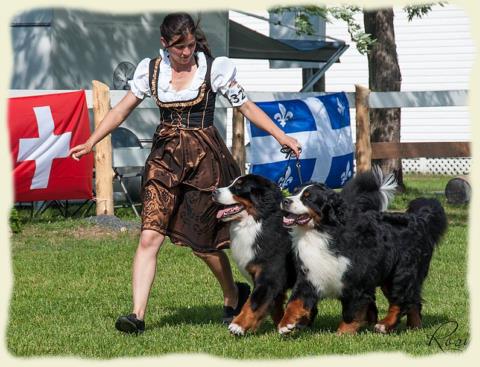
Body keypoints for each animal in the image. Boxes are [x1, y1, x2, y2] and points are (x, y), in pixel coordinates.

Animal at [213, 175, 302, 336]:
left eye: (239, 187)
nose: (213, 192)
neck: (258, 222)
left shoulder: (269, 277)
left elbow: (253, 303)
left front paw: (238, 325)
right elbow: (274, 307)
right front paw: (280, 326)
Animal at [280, 175, 448, 336]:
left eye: (308, 198)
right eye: (294, 192)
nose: (285, 200)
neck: (320, 232)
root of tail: (419, 220)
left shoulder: (356, 280)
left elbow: (352, 311)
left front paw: (343, 334)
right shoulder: (310, 275)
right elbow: (295, 301)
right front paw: (285, 324)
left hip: (402, 272)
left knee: (401, 300)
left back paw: (385, 325)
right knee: (413, 301)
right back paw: (414, 327)